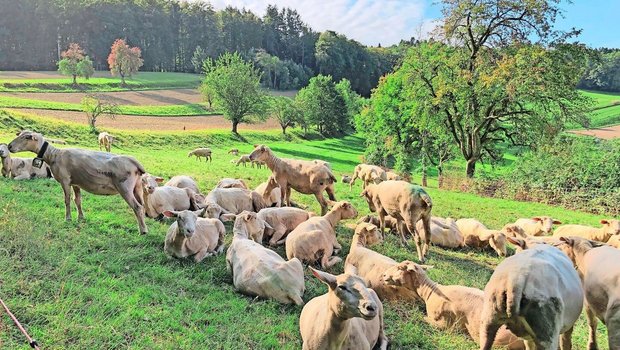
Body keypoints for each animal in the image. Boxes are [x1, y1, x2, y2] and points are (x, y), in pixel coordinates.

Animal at [7, 130, 148, 234]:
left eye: (26, 137)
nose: (9, 146)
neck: (53, 155)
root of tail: (135, 163)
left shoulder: (65, 180)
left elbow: (67, 200)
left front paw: (68, 218)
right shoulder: (75, 182)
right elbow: (78, 200)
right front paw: (81, 218)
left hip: (125, 187)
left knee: (137, 207)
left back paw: (143, 231)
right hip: (137, 187)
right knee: (143, 206)